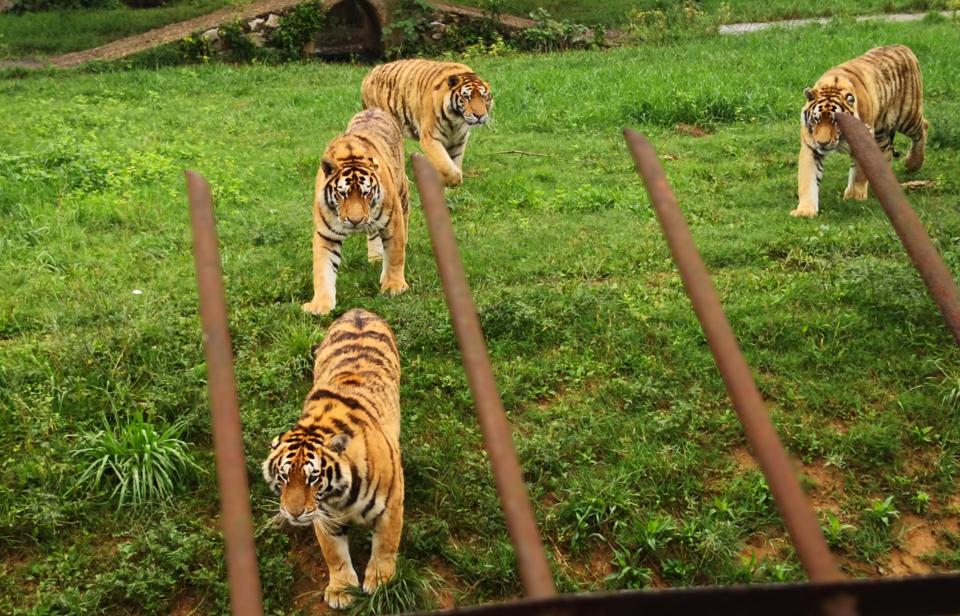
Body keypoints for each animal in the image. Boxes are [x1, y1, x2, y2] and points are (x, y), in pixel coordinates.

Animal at [260, 310, 404, 608]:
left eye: (313, 478)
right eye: (284, 477)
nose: (293, 513)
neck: (341, 496)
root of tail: (358, 310)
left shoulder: (392, 504)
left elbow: (386, 544)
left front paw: (381, 583)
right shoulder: (323, 515)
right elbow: (334, 553)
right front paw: (341, 590)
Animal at [304, 107, 408, 318]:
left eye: (366, 193)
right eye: (342, 193)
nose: (355, 221)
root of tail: (374, 109)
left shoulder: (393, 221)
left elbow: (395, 254)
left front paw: (393, 287)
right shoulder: (326, 234)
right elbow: (323, 269)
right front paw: (320, 305)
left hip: (402, 190)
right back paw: (376, 258)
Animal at [362, 59, 496, 186]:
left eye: (483, 97)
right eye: (466, 97)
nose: (479, 115)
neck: (456, 120)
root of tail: (369, 74)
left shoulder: (459, 140)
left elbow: (455, 161)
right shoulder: (430, 138)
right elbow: (446, 166)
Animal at [792, 44, 928, 217]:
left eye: (836, 122)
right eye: (816, 119)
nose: (822, 143)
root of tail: (903, 46)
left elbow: (860, 173)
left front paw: (855, 196)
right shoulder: (811, 146)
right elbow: (807, 179)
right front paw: (805, 211)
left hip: (907, 116)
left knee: (923, 127)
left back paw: (912, 163)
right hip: (881, 132)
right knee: (887, 153)